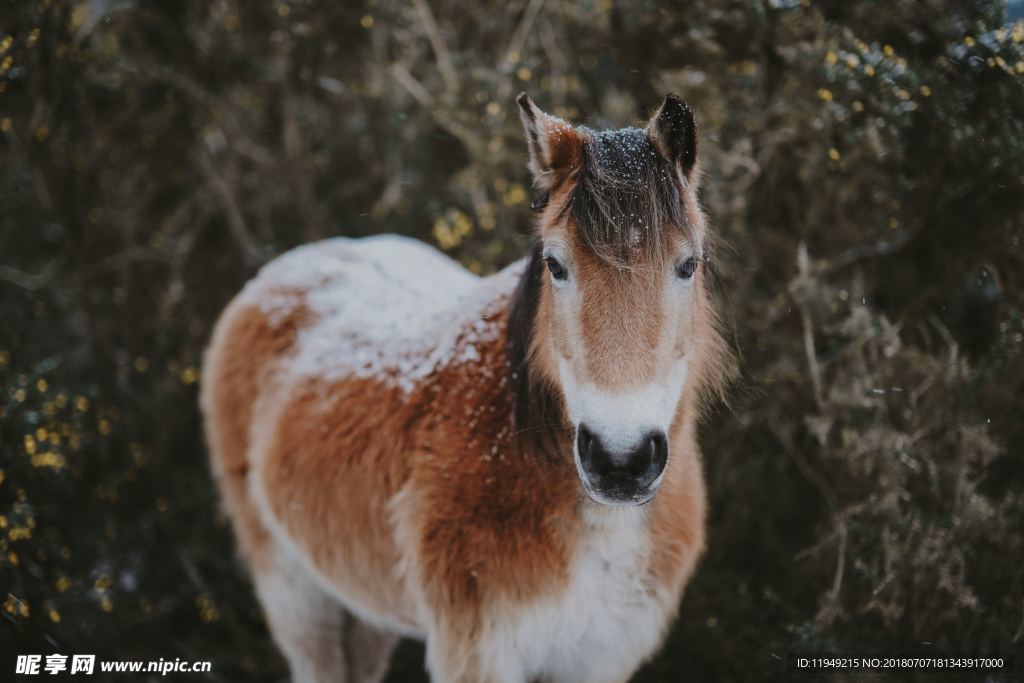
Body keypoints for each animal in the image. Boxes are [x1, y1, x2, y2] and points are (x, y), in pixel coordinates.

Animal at [201, 92, 729, 683]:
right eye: (555, 265)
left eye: (687, 264)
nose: (620, 461)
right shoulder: (479, 652)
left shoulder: (601, 659)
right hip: (296, 596)